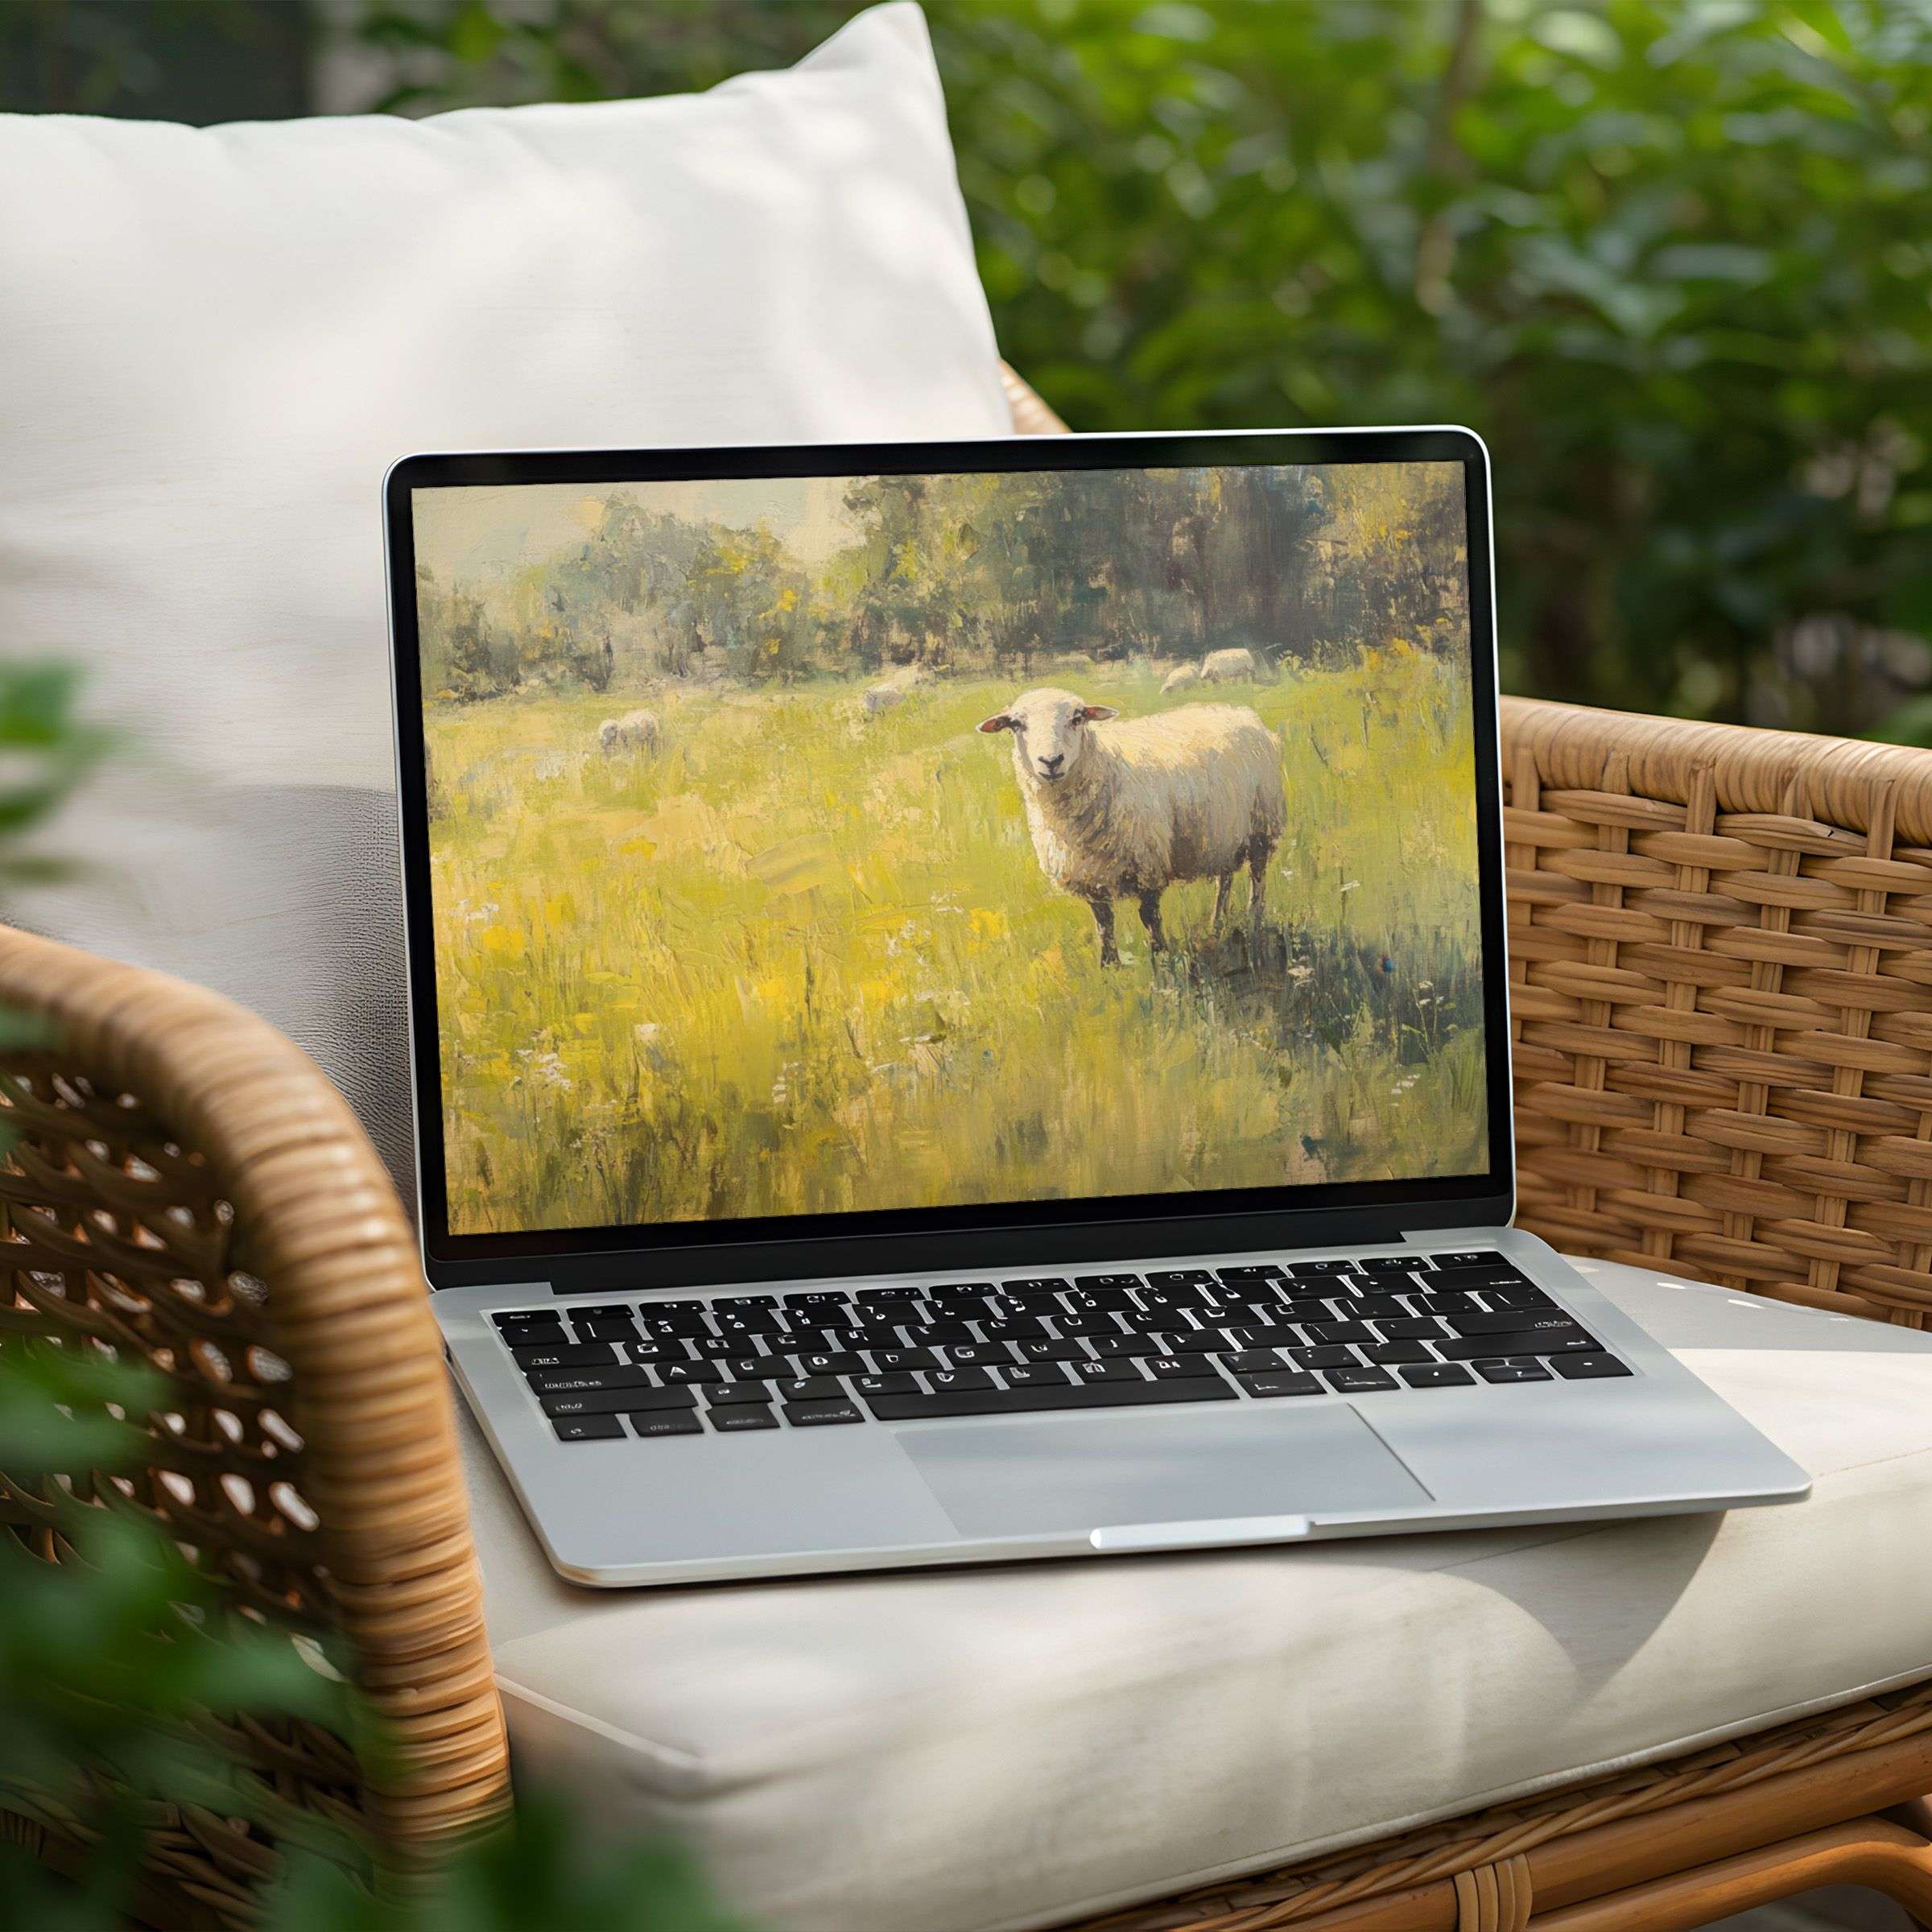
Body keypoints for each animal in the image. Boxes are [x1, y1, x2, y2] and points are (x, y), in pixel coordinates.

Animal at [979, 688, 1286, 965]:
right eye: (1016, 725)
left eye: (1077, 718)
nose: (1051, 762)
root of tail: (1238, 711)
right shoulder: (1089, 876)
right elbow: (1104, 924)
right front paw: (1109, 967)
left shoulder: (1148, 866)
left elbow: (1150, 917)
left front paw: (1161, 959)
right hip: (1222, 833)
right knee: (1225, 878)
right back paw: (1217, 923)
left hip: (1261, 827)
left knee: (1257, 879)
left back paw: (1253, 922)